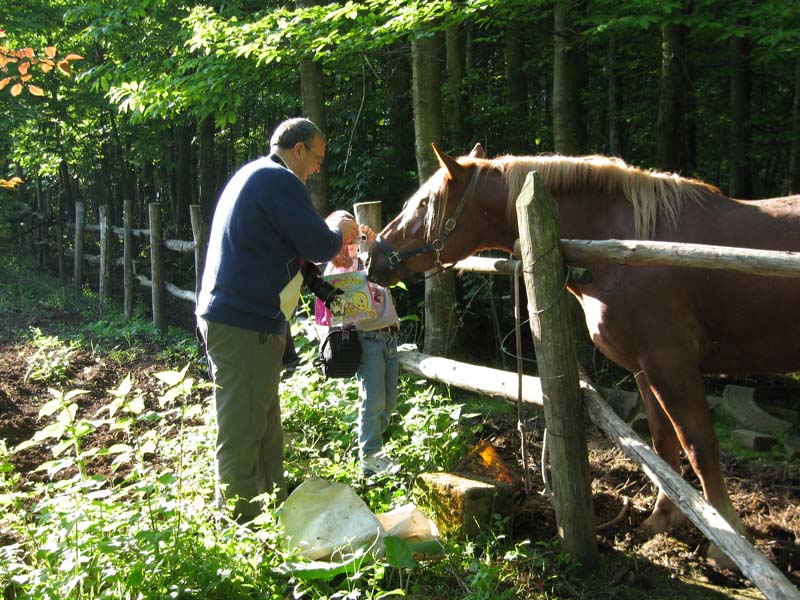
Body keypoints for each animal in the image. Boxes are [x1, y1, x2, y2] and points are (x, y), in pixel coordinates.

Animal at [368, 143, 800, 560]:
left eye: (424, 203)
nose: (372, 258)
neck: (625, 240)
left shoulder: (670, 362)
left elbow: (700, 447)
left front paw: (727, 544)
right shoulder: (645, 368)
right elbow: (663, 443)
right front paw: (662, 519)